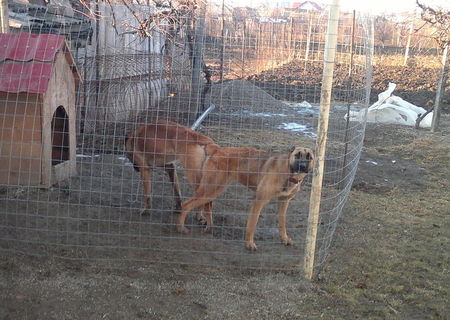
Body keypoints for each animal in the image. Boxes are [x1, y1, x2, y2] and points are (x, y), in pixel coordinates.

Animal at [178, 146, 314, 251]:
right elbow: (252, 224)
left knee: (204, 206)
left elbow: (282, 223)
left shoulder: (284, 202)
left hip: (214, 189)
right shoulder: (258, 201)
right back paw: (181, 228)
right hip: (211, 190)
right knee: (186, 204)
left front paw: (284, 238)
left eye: (309, 157)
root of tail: (217, 149)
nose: (302, 166)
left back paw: (208, 227)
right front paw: (249, 244)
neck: (288, 171)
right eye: (297, 155)